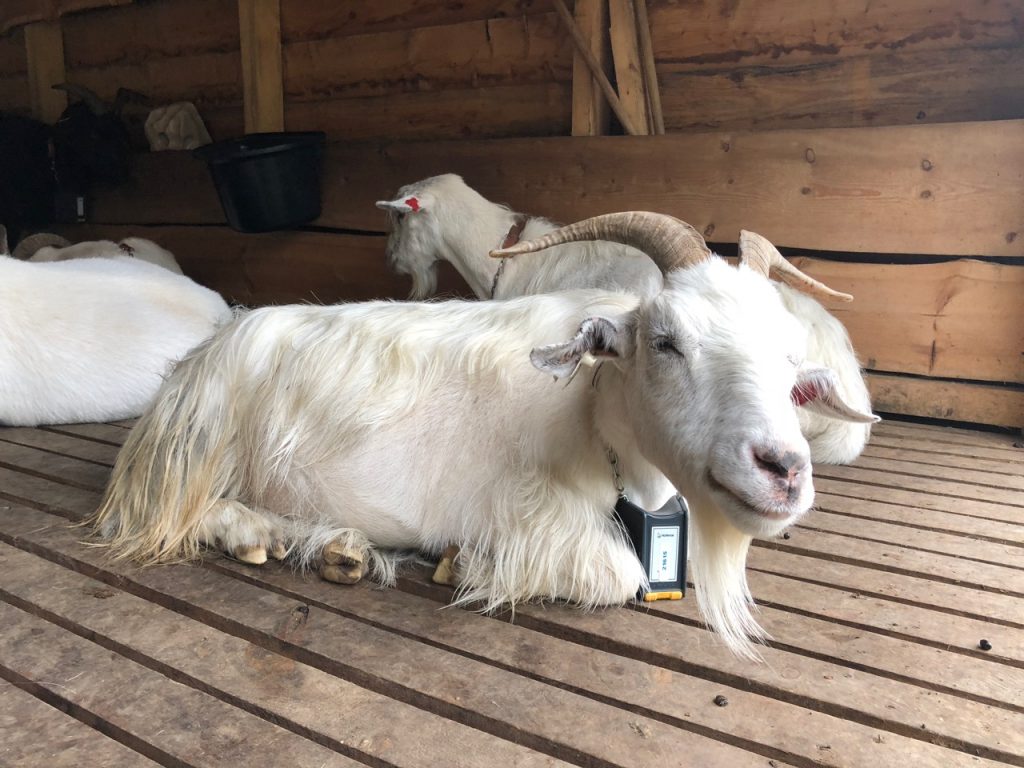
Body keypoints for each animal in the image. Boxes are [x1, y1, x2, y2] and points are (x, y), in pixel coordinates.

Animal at [92, 214, 876, 659]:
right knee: (176, 512)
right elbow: (615, 572)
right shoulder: (523, 509)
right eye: (665, 341)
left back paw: (340, 549)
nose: (783, 469)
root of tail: (193, 365)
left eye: (790, 357)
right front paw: (464, 562)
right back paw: (260, 535)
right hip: (195, 455)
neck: (591, 415)